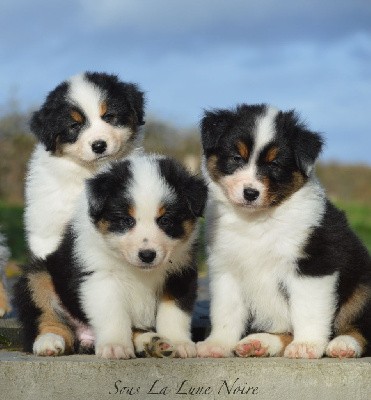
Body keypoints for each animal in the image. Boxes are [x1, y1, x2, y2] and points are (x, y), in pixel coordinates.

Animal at [16, 154, 208, 360]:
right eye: (126, 220)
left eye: (165, 220)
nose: (147, 255)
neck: (140, 271)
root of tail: (85, 337)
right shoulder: (101, 276)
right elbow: (113, 314)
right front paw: (115, 346)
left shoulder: (180, 272)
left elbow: (174, 312)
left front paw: (179, 343)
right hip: (39, 275)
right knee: (46, 316)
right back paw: (49, 341)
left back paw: (154, 343)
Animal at [198, 104, 371, 360]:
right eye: (237, 158)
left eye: (275, 165)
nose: (250, 193)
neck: (257, 220)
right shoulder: (226, 269)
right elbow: (225, 311)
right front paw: (217, 344)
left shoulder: (313, 265)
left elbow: (308, 310)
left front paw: (307, 345)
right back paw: (258, 343)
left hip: (362, 288)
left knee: (361, 328)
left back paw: (344, 345)